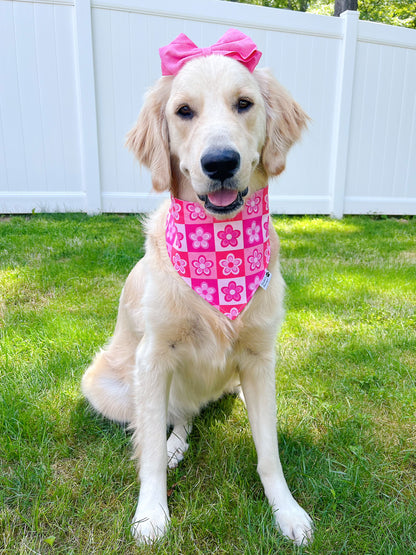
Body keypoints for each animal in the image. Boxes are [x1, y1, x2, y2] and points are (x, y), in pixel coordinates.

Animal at [82, 33, 312, 548]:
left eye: (244, 104)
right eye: (183, 111)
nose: (220, 162)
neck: (219, 248)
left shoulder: (259, 356)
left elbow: (269, 453)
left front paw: (286, 511)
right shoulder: (154, 356)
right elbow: (148, 453)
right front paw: (151, 514)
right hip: (107, 384)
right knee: (175, 419)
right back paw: (173, 446)